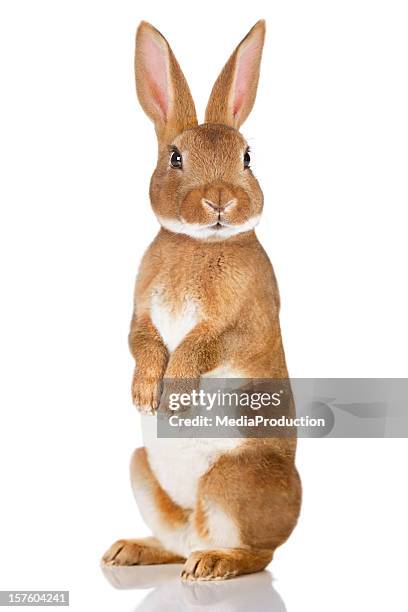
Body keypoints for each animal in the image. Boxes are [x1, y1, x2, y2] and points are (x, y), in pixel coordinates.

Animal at [103, 19, 300, 580]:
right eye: (176, 157)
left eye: (247, 159)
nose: (219, 201)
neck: (199, 243)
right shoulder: (140, 311)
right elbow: (142, 340)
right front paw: (145, 394)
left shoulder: (244, 320)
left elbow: (205, 344)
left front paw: (173, 397)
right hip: (141, 469)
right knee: (176, 541)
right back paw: (130, 551)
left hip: (231, 480)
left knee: (257, 554)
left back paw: (213, 563)